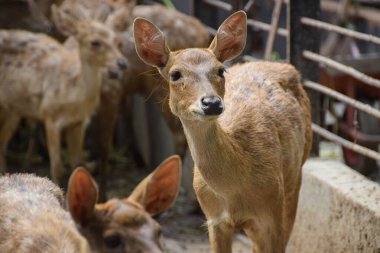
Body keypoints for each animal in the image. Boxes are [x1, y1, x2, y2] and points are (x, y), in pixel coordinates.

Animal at [0, 7, 127, 186]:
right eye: (94, 42)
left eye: (118, 41)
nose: (122, 63)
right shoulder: (50, 117)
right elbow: (57, 167)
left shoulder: (79, 122)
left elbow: (77, 163)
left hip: (14, 110)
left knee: (2, 144)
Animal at [134, 10, 312, 253]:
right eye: (175, 74)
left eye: (220, 70)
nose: (211, 103)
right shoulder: (214, 218)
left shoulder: (273, 212)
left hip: (295, 176)